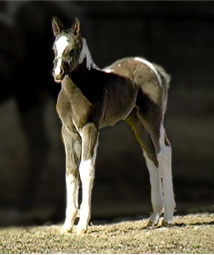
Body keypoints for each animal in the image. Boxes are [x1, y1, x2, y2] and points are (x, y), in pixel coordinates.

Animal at [51, 16, 176, 234]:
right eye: (54, 48)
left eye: (72, 49)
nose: (57, 74)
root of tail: (153, 68)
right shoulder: (68, 132)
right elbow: (70, 171)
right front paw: (67, 226)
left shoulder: (90, 128)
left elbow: (86, 169)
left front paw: (82, 225)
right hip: (136, 120)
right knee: (150, 155)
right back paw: (154, 217)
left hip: (153, 117)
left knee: (163, 151)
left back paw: (167, 216)